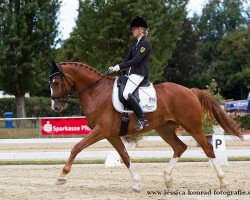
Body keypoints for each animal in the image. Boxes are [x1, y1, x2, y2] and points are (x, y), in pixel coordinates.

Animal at [47, 61, 242, 191]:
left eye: (56, 83)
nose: (55, 107)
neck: (95, 92)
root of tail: (190, 90)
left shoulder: (101, 131)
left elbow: (76, 147)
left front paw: (62, 176)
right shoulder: (111, 135)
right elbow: (125, 156)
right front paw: (136, 183)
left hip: (192, 126)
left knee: (207, 147)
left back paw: (223, 182)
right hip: (164, 129)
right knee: (180, 147)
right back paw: (167, 179)